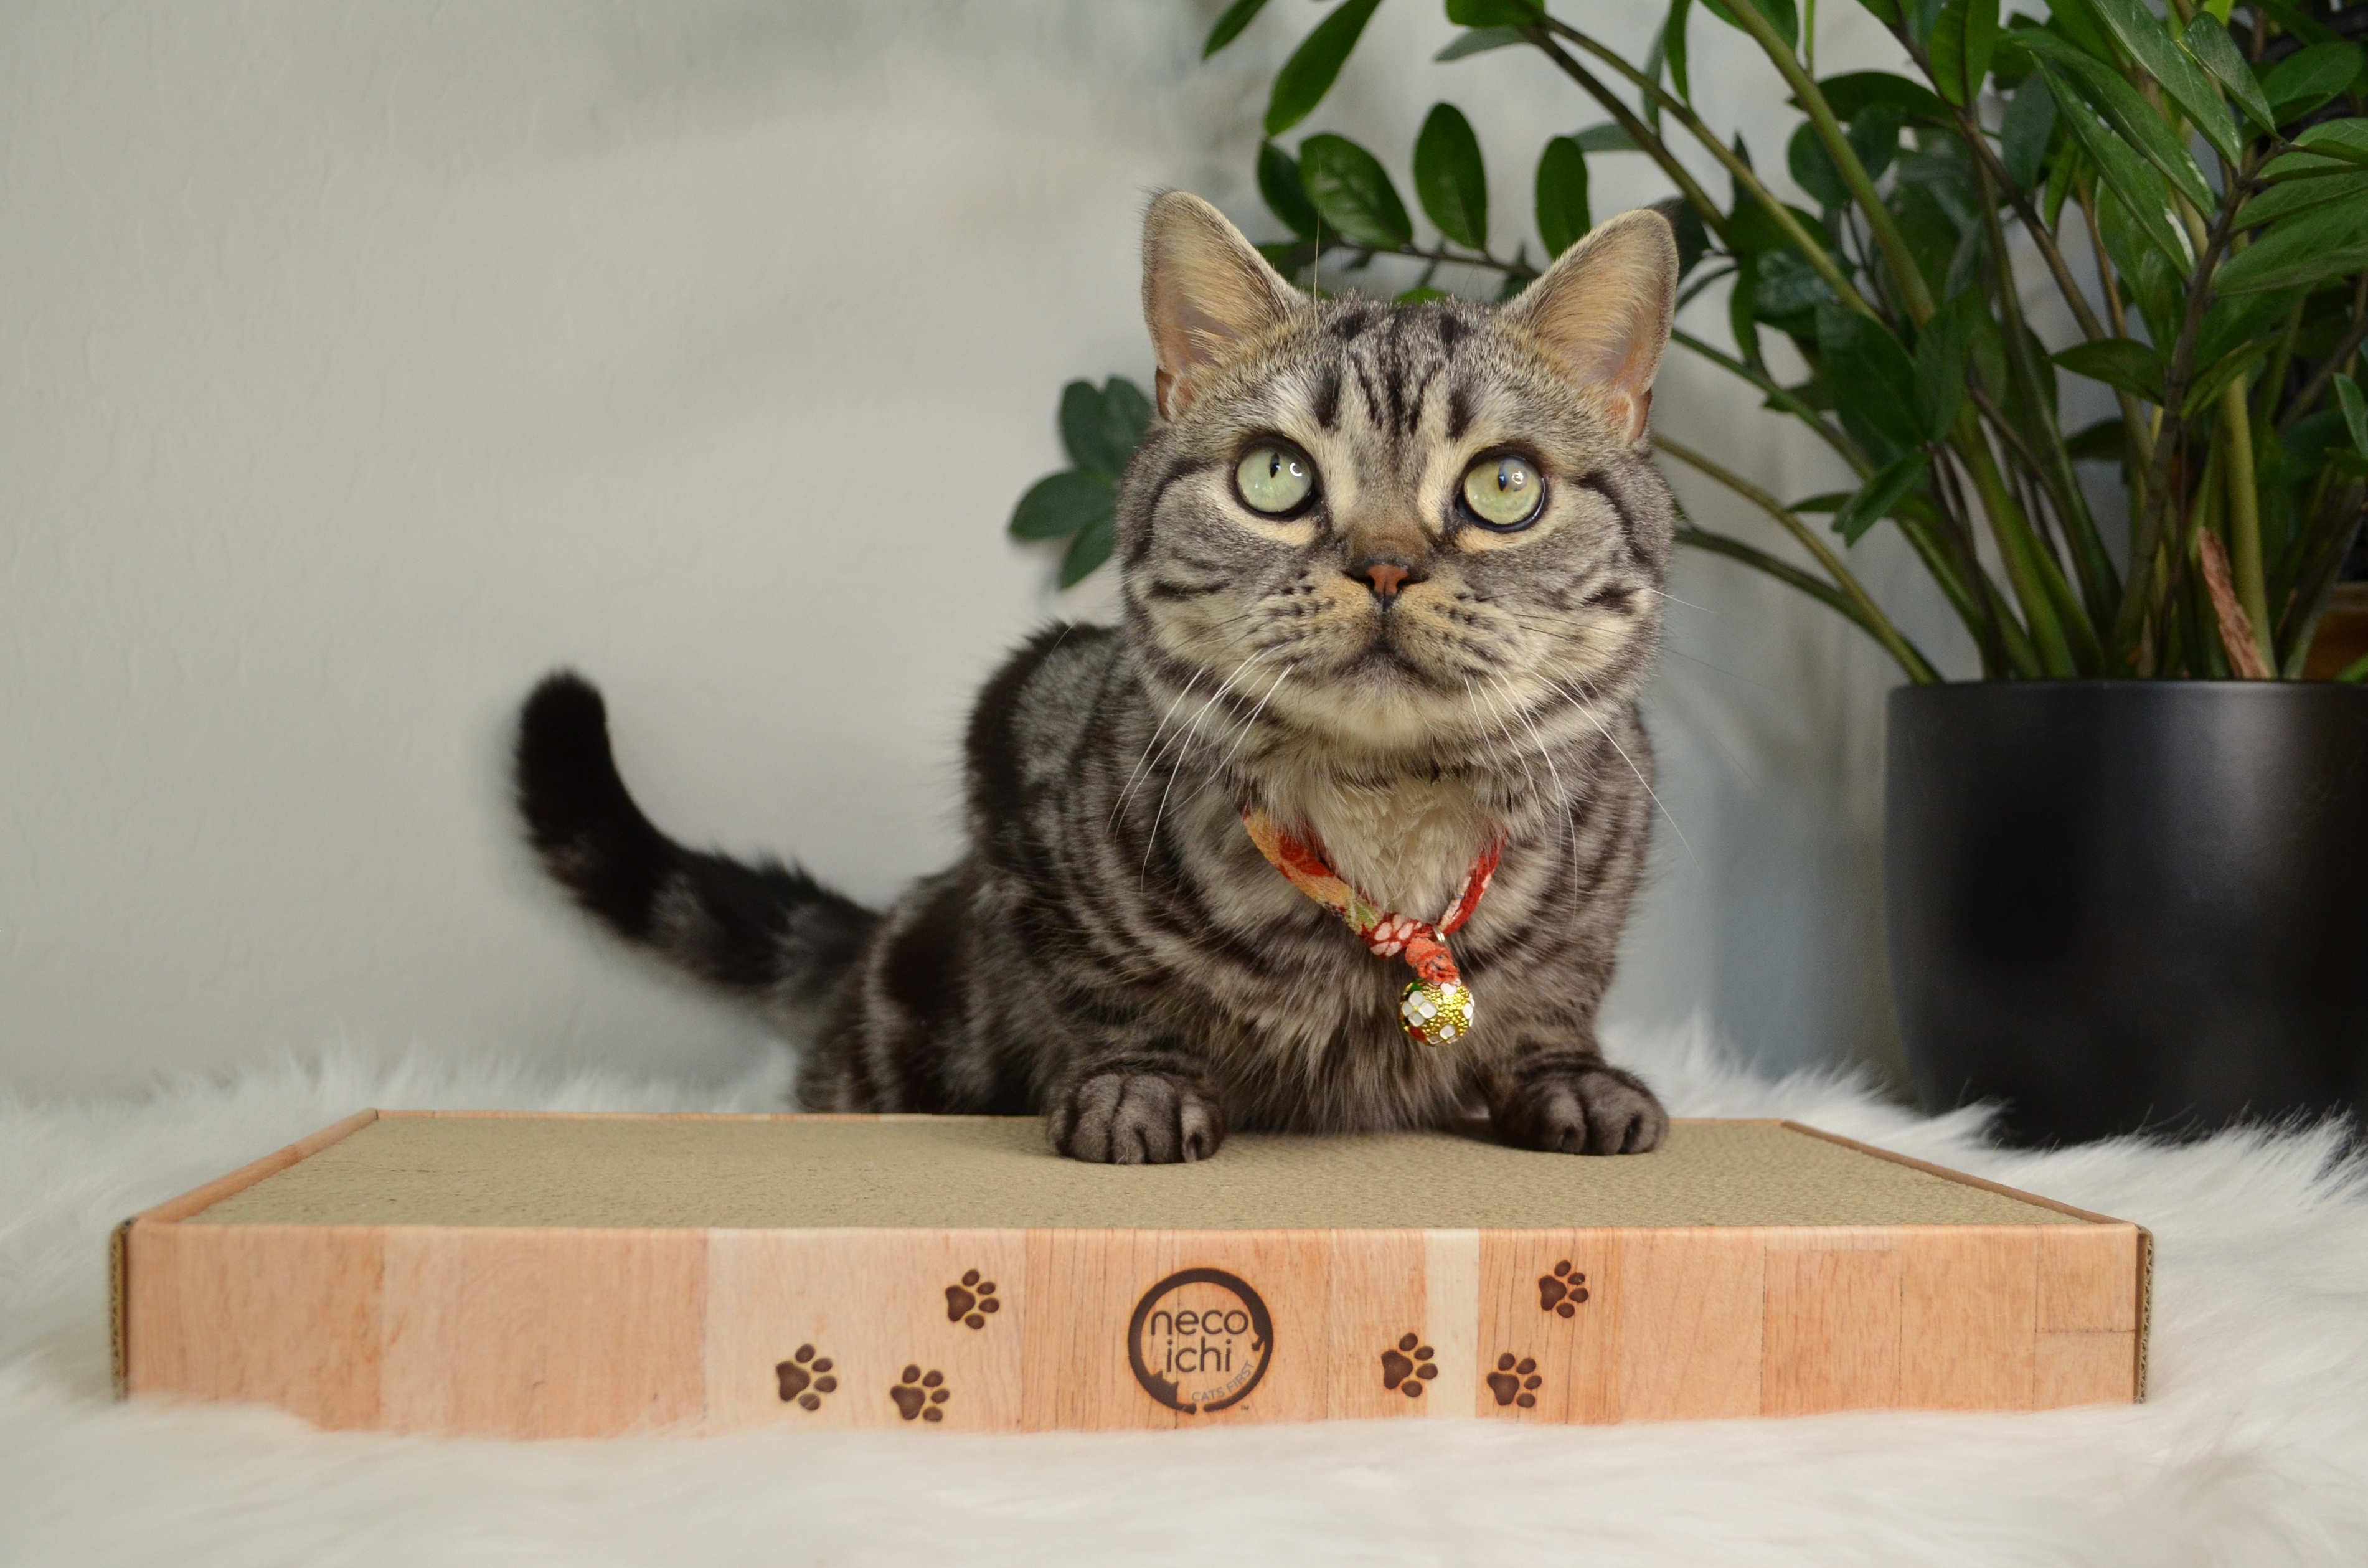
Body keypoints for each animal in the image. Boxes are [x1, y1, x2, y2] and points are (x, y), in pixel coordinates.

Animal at [514, 191, 1686, 1165]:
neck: (1386, 815)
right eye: (1275, 475)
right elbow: (1108, 992)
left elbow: (1556, 997)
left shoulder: (1615, 843)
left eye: (1503, 486)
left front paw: (1569, 1076)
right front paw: (1139, 1088)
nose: (1385, 563)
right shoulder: (1018, 746)